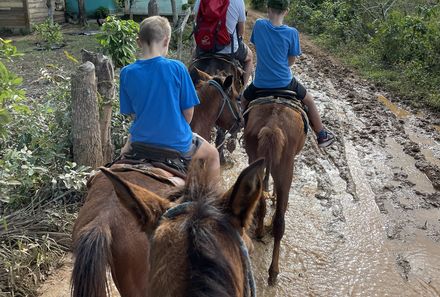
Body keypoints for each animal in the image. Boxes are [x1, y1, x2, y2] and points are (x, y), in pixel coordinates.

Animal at [244, 97, 306, 284]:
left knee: (260, 196)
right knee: (279, 221)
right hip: (286, 168)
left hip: (255, 159)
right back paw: (273, 272)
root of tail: (273, 126)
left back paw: (259, 229)